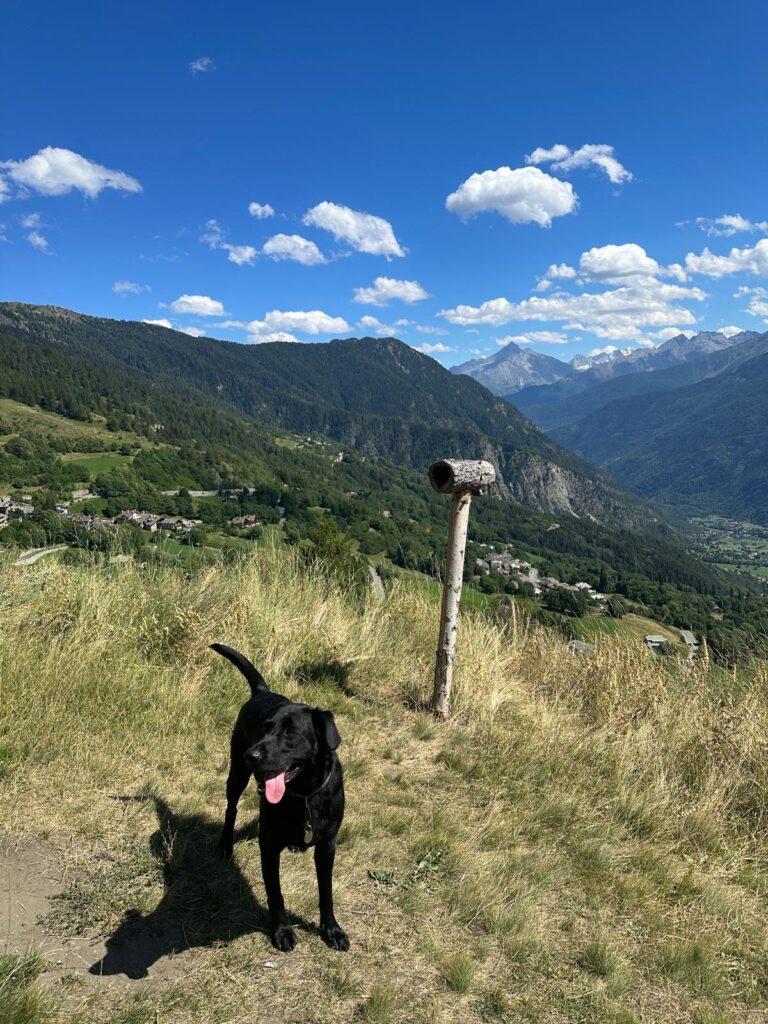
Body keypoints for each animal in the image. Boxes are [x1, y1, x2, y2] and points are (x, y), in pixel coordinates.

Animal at [210, 643, 348, 954]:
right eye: (265, 728)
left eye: (290, 733)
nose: (251, 755)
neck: (304, 796)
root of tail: (262, 691)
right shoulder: (269, 844)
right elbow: (276, 892)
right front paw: (282, 931)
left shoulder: (327, 845)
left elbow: (326, 891)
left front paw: (332, 930)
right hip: (236, 775)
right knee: (231, 808)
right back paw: (225, 845)